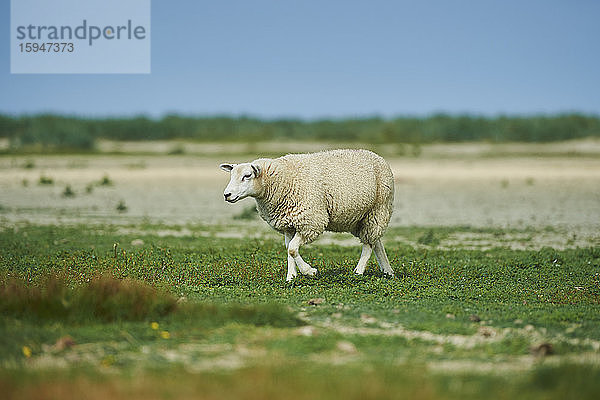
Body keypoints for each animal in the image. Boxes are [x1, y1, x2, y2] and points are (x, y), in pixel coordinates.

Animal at [219, 148, 394, 282]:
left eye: (247, 176)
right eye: (232, 175)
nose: (227, 195)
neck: (281, 180)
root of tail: (377, 156)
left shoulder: (310, 222)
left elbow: (292, 249)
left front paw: (309, 271)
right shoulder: (288, 224)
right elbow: (289, 248)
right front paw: (291, 277)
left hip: (378, 209)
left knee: (369, 244)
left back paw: (359, 271)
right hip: (359, 217)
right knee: (375, 241)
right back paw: (388, 271)